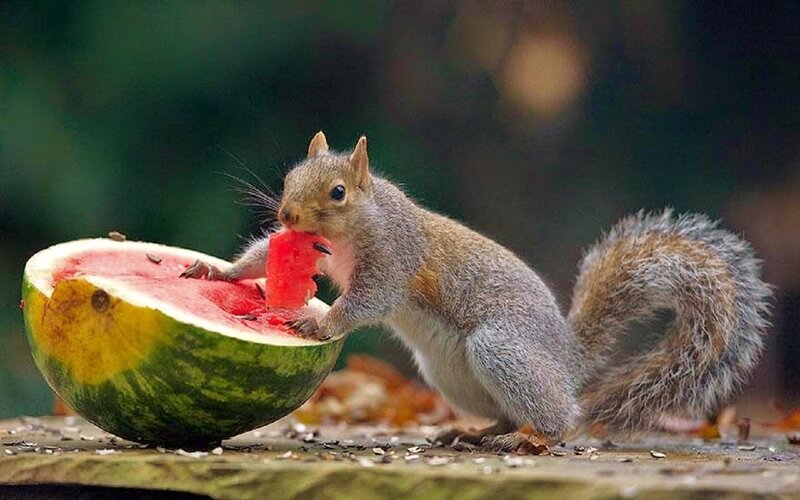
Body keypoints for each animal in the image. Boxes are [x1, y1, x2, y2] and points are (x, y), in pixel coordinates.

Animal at [181, 132, 771, 451]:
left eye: (338, 192)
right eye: (290, 177)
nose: (287, 214)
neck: (358, 226)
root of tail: (568, 357)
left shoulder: (394, 260)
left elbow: (367, 301)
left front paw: (317, 321)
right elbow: (265, 258)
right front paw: (221, 274)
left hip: (502, 349)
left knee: (558, 417)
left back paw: (529, 438)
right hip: (450, 374)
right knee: (508, 411)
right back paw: (475, 432)